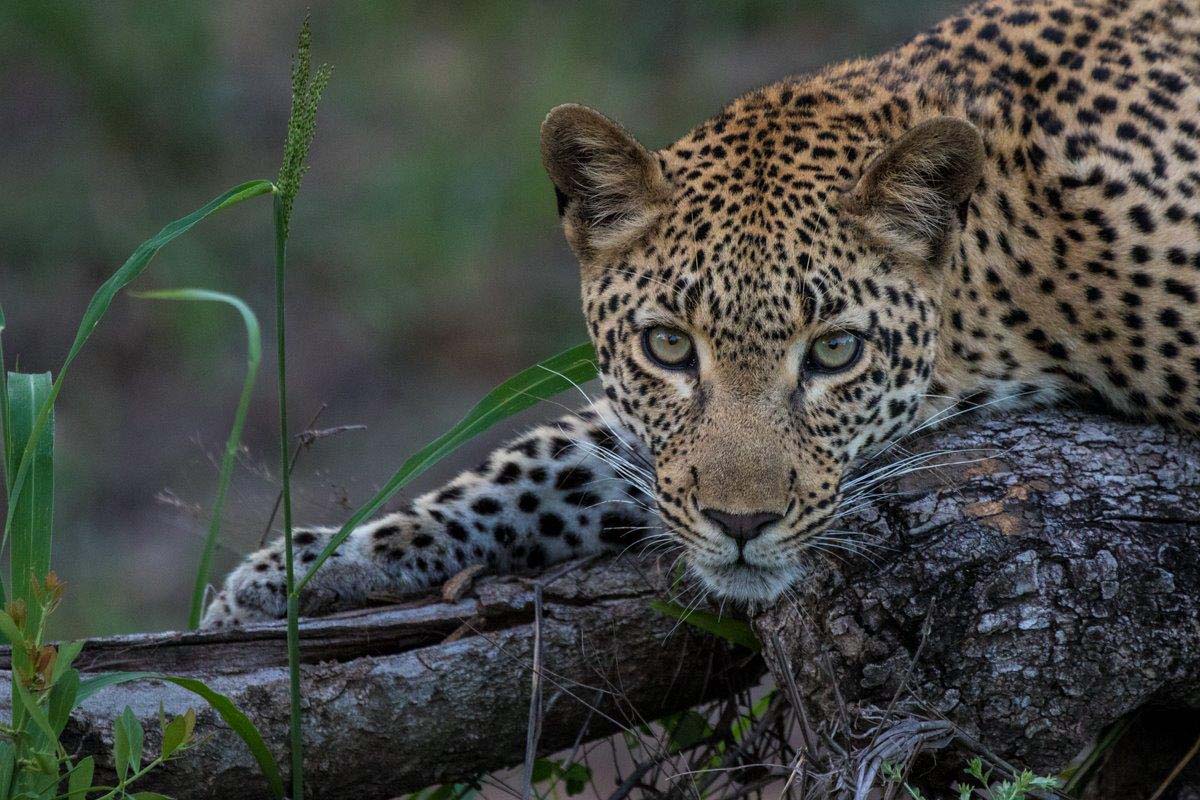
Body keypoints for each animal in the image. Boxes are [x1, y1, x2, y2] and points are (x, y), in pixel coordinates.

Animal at [201, 0, 1200, 628]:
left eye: (835, 353)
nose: (742, 527)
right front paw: (313, 561)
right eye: (669, 347)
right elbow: (539, 464)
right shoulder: (648, 443)